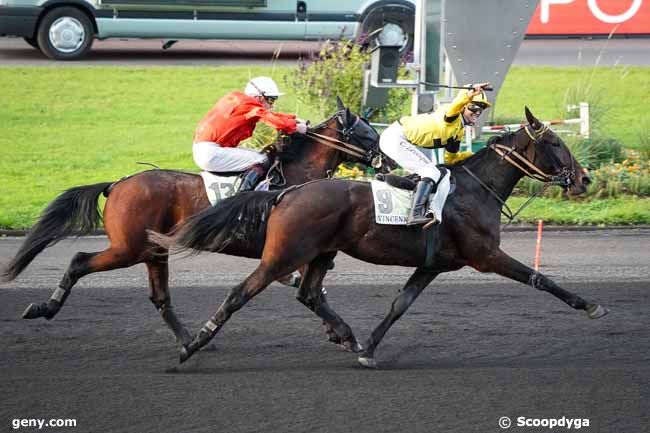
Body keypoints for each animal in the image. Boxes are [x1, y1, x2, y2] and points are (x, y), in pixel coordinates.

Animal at [2, 99, 382, 346]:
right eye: (367, 134)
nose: (385, 158)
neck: (294, 174)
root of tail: (118, 184)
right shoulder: (293, 247)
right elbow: (309, 285)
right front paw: (337, 332)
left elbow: (309, 285)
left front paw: (334, 330)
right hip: (128, 248)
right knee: (80, 261)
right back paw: (44, 307)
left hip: (153, 252)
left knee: (160, 297)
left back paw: (188, 340)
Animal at [151, 107, 608, 364]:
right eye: (554, 142)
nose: (584, 179)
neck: (475, 190)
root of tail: (288, 192)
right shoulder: (485, 255)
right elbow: (540, 278)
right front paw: (590, 305)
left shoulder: (433, 265)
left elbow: (399, 305)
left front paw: (368, 349)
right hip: (282, 255)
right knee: (239, 294)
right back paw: (192, 345)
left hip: (321, 253)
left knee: (309, 294)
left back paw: (346, 336)